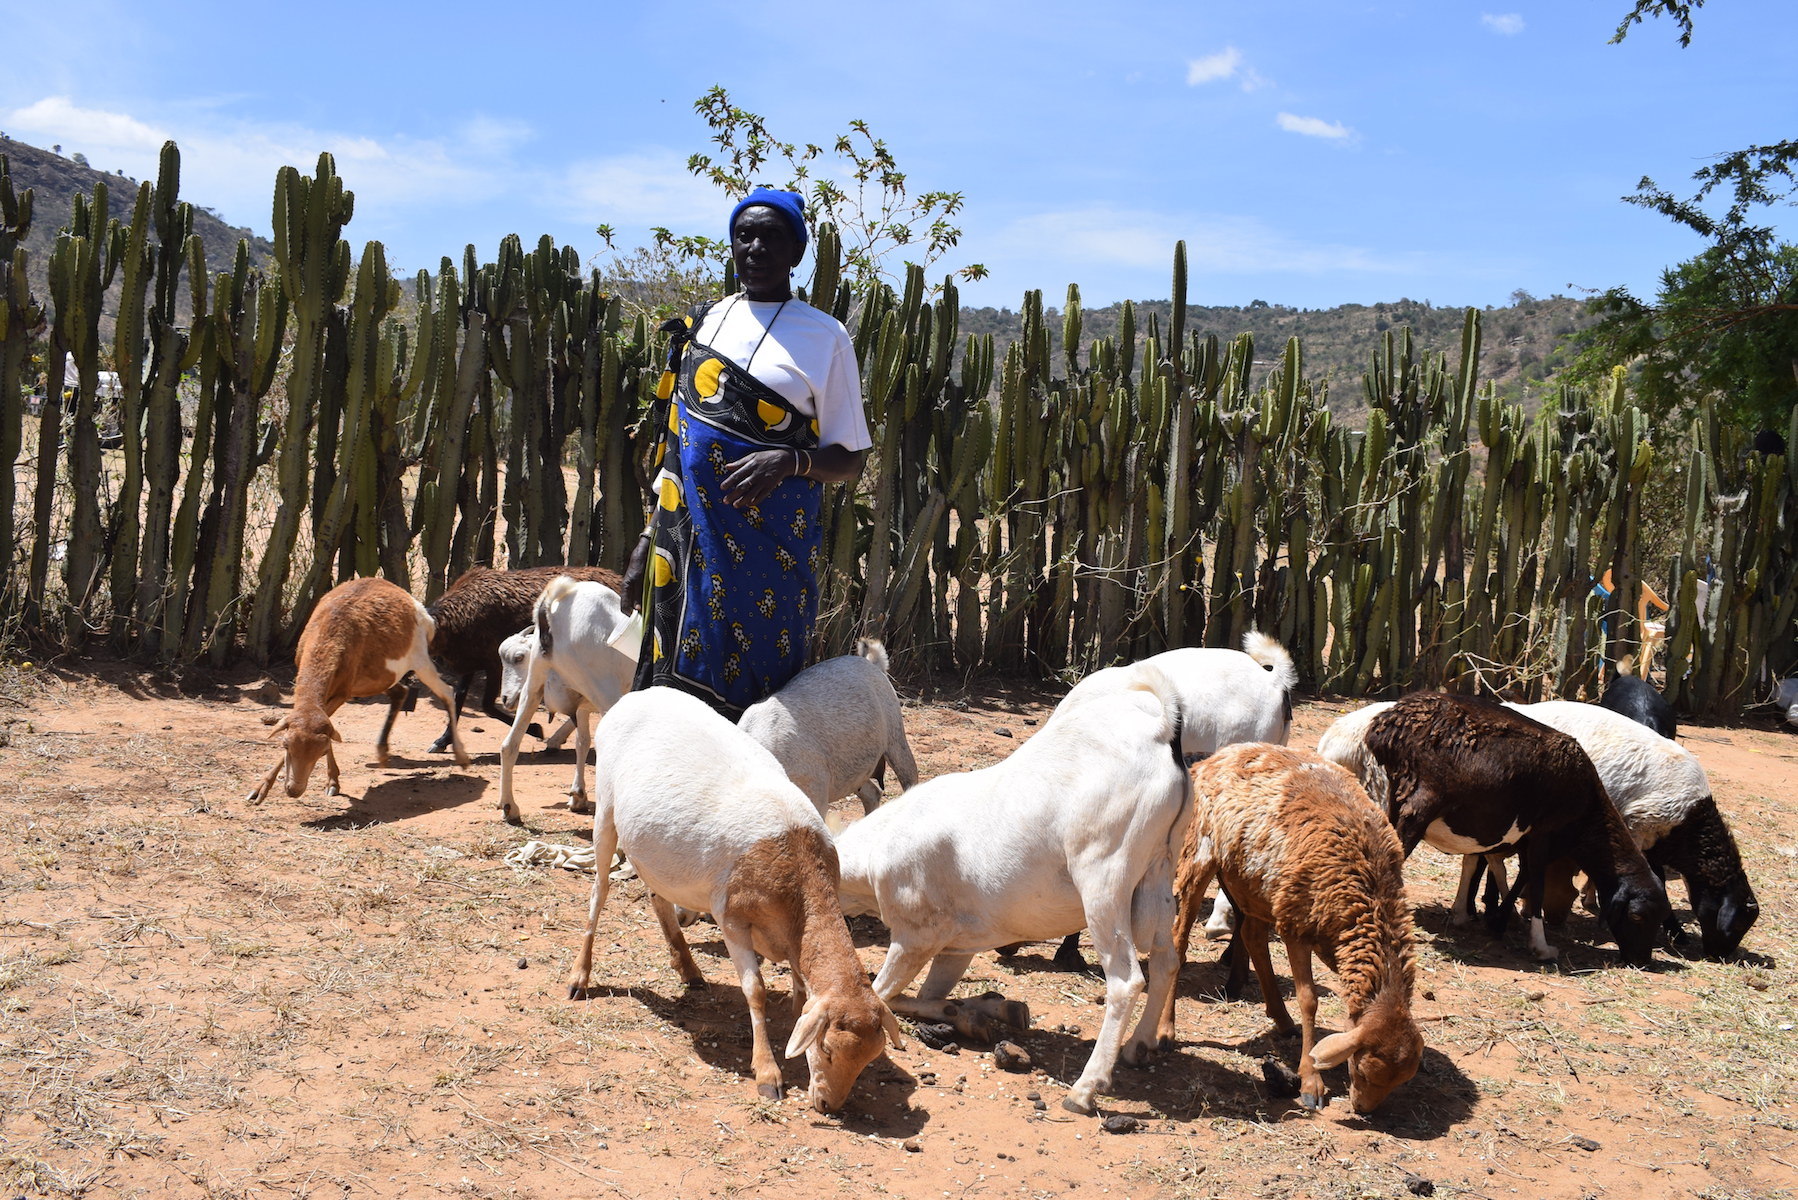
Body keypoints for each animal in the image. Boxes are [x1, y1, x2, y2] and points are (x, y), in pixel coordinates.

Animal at [246, 575, 471, 802]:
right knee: (401, 692)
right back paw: (382, 753)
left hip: (421, 661)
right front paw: (258, 791)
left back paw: (458, 755)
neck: (330, 631)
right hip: (378, 680)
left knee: (447, 691)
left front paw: (332, 784)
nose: (294, 790)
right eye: (285, 745)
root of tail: (421, 610)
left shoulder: (343, 692)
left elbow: (331, 729)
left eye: (321, 751)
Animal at [496, 579, 636, 827]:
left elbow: (582, 743)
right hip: (606, 693)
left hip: (532, 688)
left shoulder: (581, 707)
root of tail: (555, 613)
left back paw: (509, 808)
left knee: (509, 745)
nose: (504, 699)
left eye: (519, 657)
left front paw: (577, 795)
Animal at [568, 683, 906, 1115]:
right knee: (599, 892)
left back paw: (689, 969)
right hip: (606, 812)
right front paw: (768, 1074)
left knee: (658, 896)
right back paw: (579, 977)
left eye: (868, 1058)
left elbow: (800, 987)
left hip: (656, 853)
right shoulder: (731, 919)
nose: (828, 1105)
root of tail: (635, 696)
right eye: (828, 1049)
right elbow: (755, 990)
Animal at [830, 658, 1193, 1115]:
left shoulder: (915, 936)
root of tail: (1161, 733)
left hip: (1104, 878)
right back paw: (1139, 1047)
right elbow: (915, 996)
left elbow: (878, 995)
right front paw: (985, 1012)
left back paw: (1085, 1089)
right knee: (1166, 959)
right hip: (1160, 871)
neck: (878, 846)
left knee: (1126, 979)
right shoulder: (956, 947)